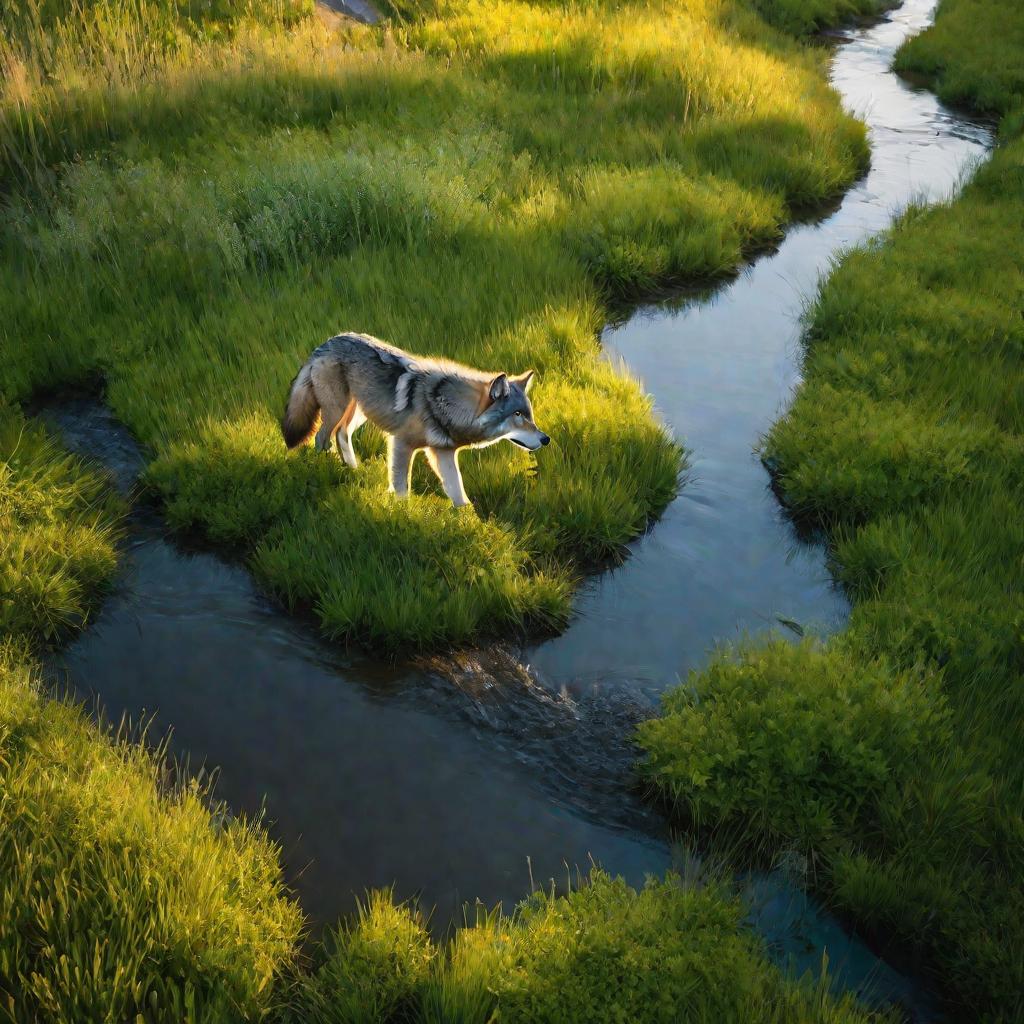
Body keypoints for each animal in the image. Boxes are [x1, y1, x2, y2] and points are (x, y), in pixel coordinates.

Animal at [280, 333, 548, 505]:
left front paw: (472, 527)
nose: (546, 439)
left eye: (529, 415)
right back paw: (323, 468)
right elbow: (401, 488)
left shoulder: (442, 453)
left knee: (341, 434)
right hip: (337, 410)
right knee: (321, 437)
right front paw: (404, 516)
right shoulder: (401, 444)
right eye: (517, 415)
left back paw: (353, 470)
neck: (445, 405)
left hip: (359, 414)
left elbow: (460, 496)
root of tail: (325, 343)